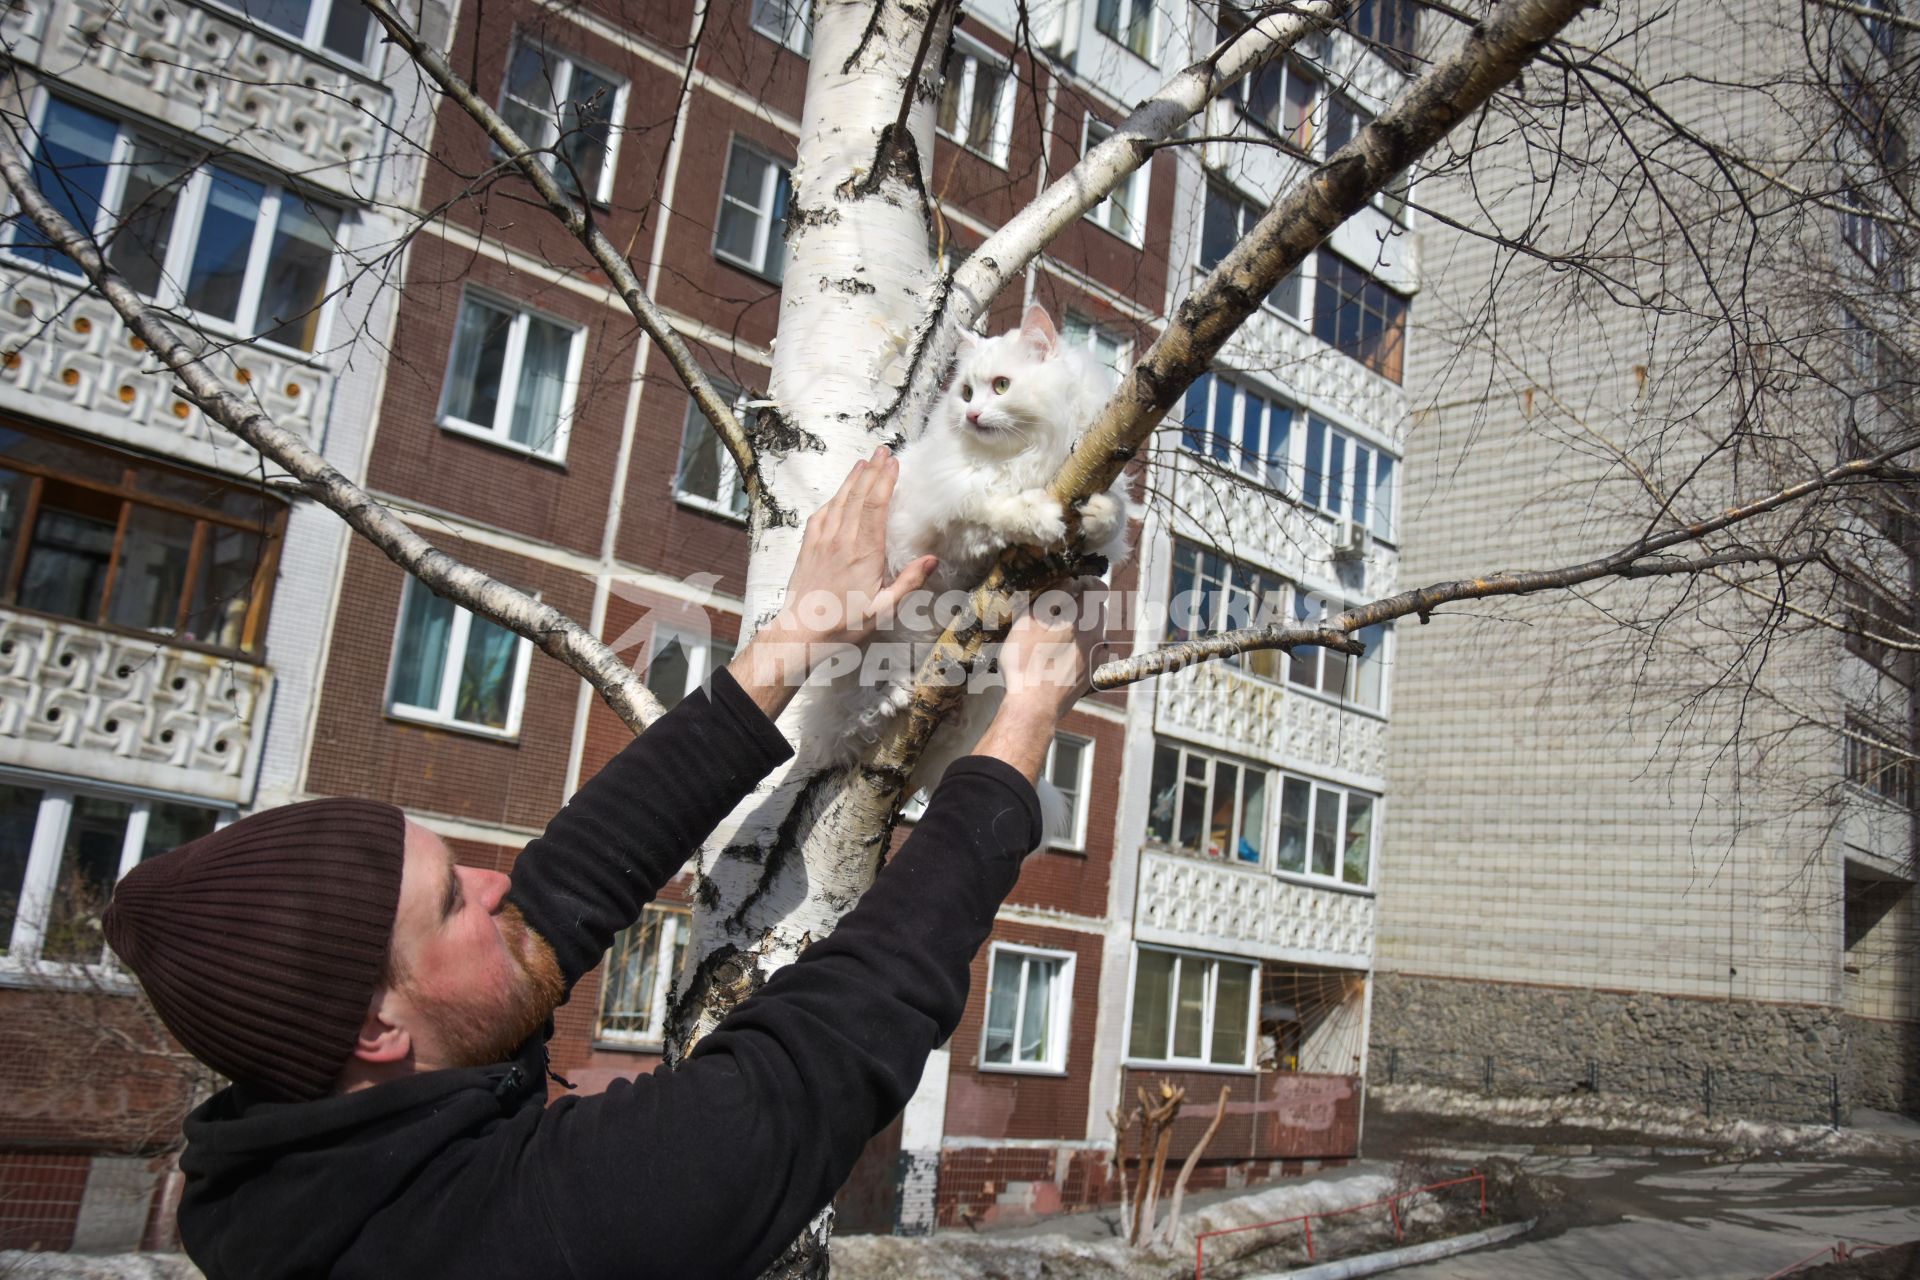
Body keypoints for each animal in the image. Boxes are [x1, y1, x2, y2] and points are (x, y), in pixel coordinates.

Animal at [787, 297, 1128, 840]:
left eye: (1001, 386)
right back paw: (890, 697)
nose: (971, 413)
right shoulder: (949, 521)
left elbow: (1110, 519)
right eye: (967, 391)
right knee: (851, 716)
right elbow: (992, 505)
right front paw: (1038, 516)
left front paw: (1092, 513)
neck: (1023, 458)